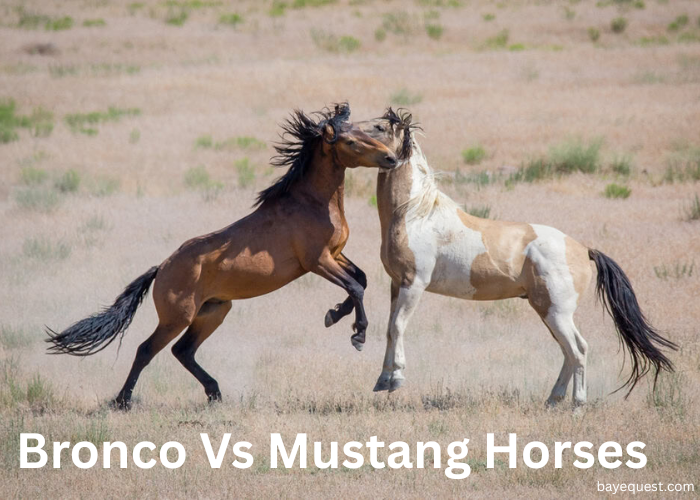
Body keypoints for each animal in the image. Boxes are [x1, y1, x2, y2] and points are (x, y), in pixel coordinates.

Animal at [46, 103, 398, 409]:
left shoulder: (336, 255)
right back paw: (123, 401)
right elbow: (356, 287)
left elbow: (361, 279)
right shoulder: (317, 261)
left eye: (366, 130)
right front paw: (358, 333)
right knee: (147, 349)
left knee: (183, 351)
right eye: (350, 140)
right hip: (178, 317)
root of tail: (162, 268)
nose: (391, 157)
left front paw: (334, 314)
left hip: (214, 311)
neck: (311, 203)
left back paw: (214, 393)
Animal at [326, 108, 677, 407]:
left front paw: (395, 379)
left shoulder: (414, 284)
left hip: (556, 312)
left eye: (379, 127)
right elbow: (389, 328)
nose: (340, 130)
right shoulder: (396, 284)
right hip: (548, 311)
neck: (416, 214)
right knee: (572, 350)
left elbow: (397, 326)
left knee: (577, 351)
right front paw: (383, 380)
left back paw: (577, 406)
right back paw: (553, 401)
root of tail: (582, 248)